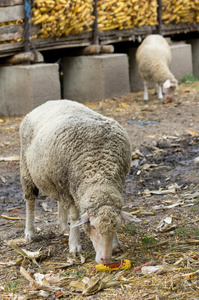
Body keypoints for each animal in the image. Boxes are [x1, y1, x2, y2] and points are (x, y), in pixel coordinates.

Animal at [19, 99, 139, 262]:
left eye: (117, 226)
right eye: (93, 226)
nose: (105, 260)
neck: (99, 176)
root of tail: (51, 101)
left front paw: (115, 243)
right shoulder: (67, 187)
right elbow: (75, 217)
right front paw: (74, 246)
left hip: (58, 180)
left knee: (60, 203)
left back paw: (64, 227)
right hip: (28, 171)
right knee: (30, 202)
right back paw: (30, 233)